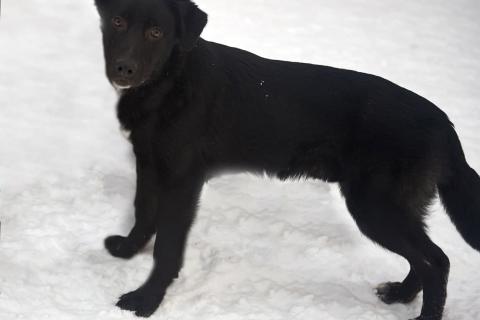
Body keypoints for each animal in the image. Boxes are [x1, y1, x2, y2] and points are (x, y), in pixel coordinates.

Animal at [94, 1, 480, 318]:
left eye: (156, 32)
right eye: (117, 21)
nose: (124, 69)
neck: (171, 81)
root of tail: (445, 124)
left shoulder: (182, 181)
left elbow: (168, 246)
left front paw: (146, 301)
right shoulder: (148, 163)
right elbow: (143, 213)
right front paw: (128, 250)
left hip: (375, 207)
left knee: (435, 262)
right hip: (395, 209)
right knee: (432, 258)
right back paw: (400, 294)